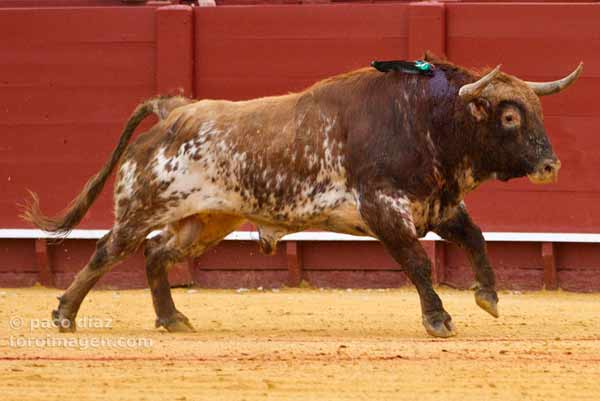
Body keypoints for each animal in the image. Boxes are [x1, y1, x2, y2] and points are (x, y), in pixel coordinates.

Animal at [23, 54, 580, 336]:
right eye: (509, 117)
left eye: (535, 111)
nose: (551, 166)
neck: (428, 119)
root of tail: (175, 110)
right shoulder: (386, 209)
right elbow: (419, 263)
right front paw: (439, 318)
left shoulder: (437, 203)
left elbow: (476, 238)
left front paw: (488, 296)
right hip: (143, 204)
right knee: (109, 249)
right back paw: (65, 314)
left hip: (208, 220)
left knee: (157, 254)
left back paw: (171, 318)